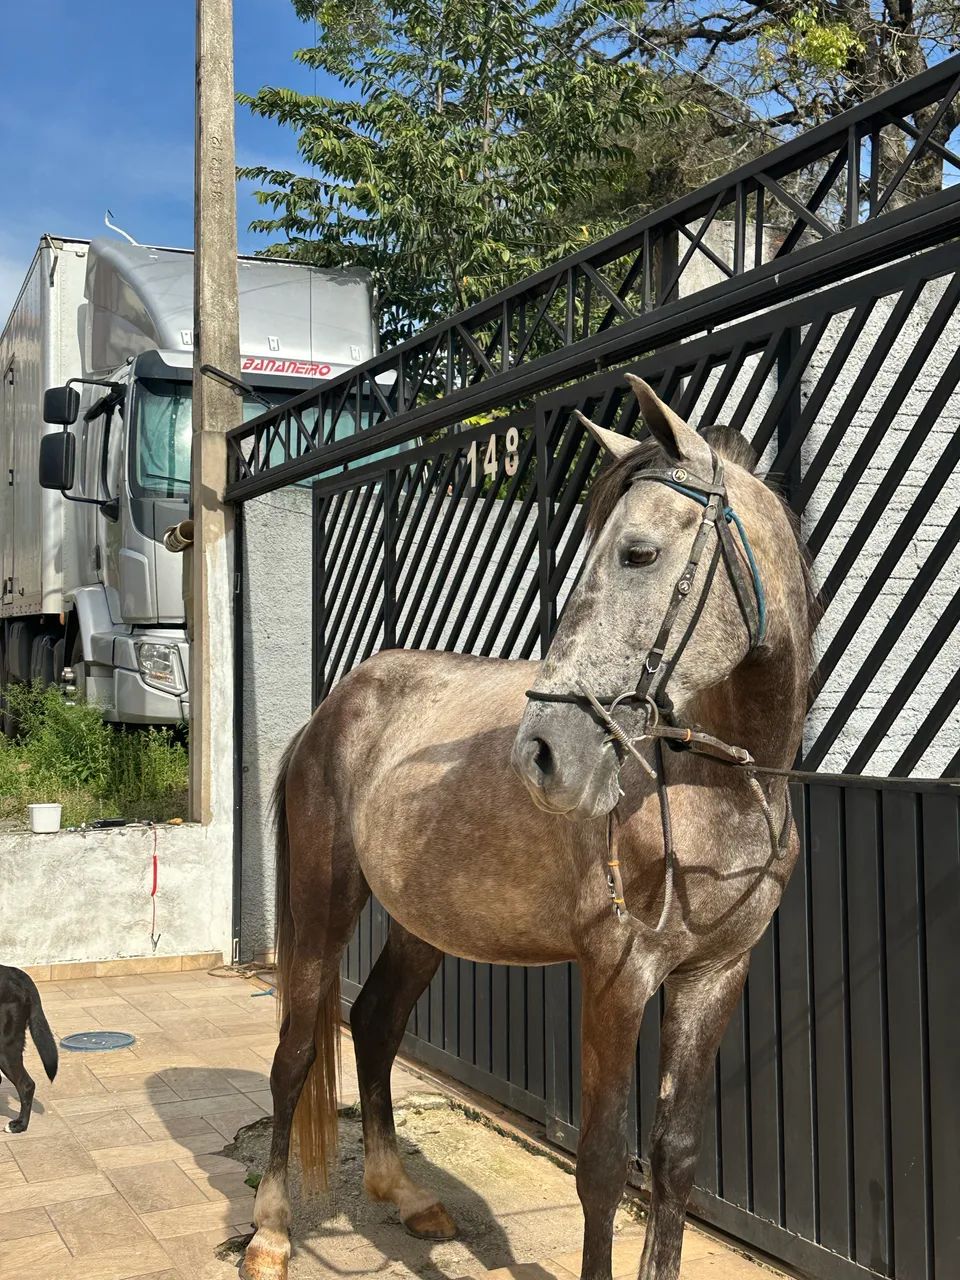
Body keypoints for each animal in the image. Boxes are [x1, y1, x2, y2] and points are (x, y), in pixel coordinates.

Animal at [240, 374, 816, 1280]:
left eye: (639, 553)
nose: (543, 753)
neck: (715, 790)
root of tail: (333, 708)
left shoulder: (716, 974)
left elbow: (676, 1157)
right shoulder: (616, 977)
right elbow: (605, 1165)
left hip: (423, 922)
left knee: (373, 1023)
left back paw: (405, 1195)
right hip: (326, 904)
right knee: (297, 1047)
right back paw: (269, 1232)